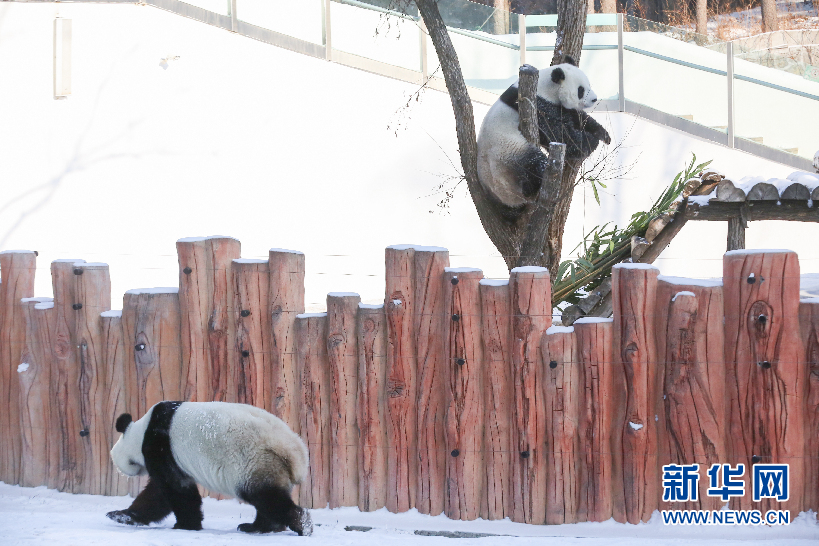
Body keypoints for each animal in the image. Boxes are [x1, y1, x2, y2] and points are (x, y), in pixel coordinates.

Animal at [107, 400, 312, 536]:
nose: (120, 472)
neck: (141, 431)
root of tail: (293, 451)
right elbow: (157, 494)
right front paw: (121, 515)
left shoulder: (161, 446)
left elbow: (175, 489)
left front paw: (185, 525)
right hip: (272, 465)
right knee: (268, 500)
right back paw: (258, 527)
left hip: (254, 461)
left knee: (266, 497)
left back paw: (301, 524)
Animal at [478, 55, 612, 211]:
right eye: (581, 90)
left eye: (589, 84)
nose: (594, 99)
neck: (545, 87)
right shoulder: (537, 106)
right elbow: (560, 134)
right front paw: (591, 141)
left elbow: (575, 116)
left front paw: (604, 135)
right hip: (507, 152)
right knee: (534, 162)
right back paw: (534, 185)